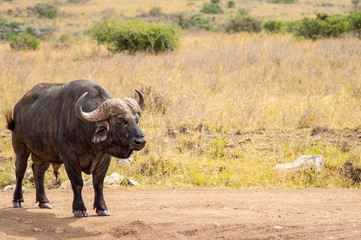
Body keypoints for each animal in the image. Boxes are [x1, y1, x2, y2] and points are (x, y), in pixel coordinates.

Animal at [5, 79, 145, 218]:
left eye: (136, 120)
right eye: (120, 121)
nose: (141, 141)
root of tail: (19, 105)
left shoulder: (104, 158)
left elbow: (98, 184)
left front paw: (102, 208)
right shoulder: (70, 158)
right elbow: (77, 183)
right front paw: (79, 209)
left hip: (44, 153)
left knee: (39, 171)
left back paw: (44, 201)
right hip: (20, 148)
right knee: (20, 171)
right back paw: (18, 200)